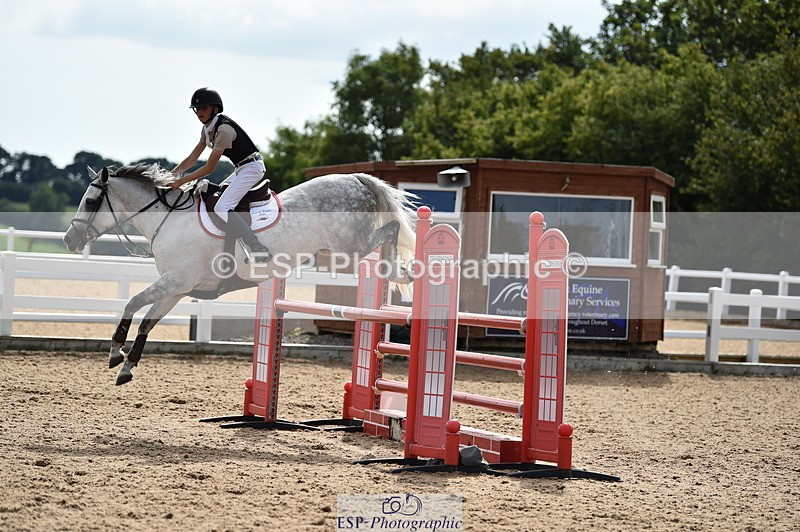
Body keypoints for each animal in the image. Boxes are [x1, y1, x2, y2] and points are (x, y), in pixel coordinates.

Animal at [64, 164, 417, 386]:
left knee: (391, 229)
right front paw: (126, 367)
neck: (168, 220)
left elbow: (132, 303)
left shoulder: (174, 281)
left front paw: (114, 352)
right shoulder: (177, 289)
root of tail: (356, 178)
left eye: (91, 201)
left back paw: (402, 273)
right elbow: (147, 322)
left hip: (350, 245)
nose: (70, 240)